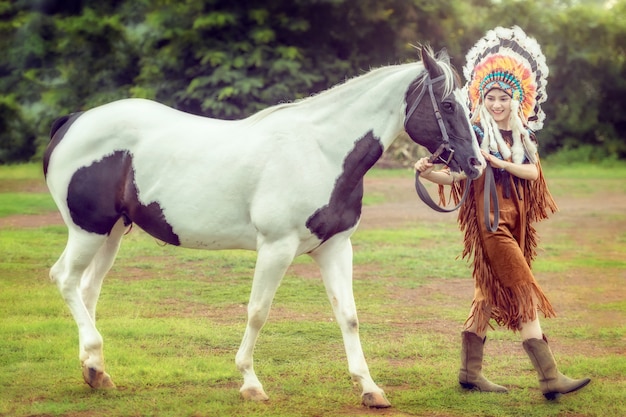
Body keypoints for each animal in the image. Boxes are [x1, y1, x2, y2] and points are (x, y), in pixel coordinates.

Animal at [42, 47, 482, 408]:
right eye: (447, 103)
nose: (475, 164)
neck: (321, 151)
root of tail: (74, 121)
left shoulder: (335, 247)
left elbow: (349, 315)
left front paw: (369, 388)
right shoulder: (276, 247)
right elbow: (258, 312)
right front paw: (251, 383)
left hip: (112, 232)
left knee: (88, 289)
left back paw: (95, 370)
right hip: (87, 231)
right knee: (65, 279)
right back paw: (94, 359)